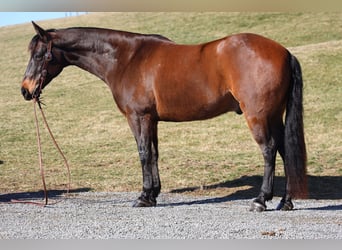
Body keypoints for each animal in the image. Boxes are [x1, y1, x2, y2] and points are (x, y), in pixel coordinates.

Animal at [20, 22, 308, 212]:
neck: (126, 58)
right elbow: (154, 154)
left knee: (269, 150)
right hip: (274, 116)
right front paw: (153, 194)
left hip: (258, 116)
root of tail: (284, 52)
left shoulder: (138, 117)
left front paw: (144, 197)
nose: (26, 90)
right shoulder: (152, 119)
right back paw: (285, 202)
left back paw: (261, 200)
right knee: (284, 151)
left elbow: (143, 154)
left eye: (39, 54)